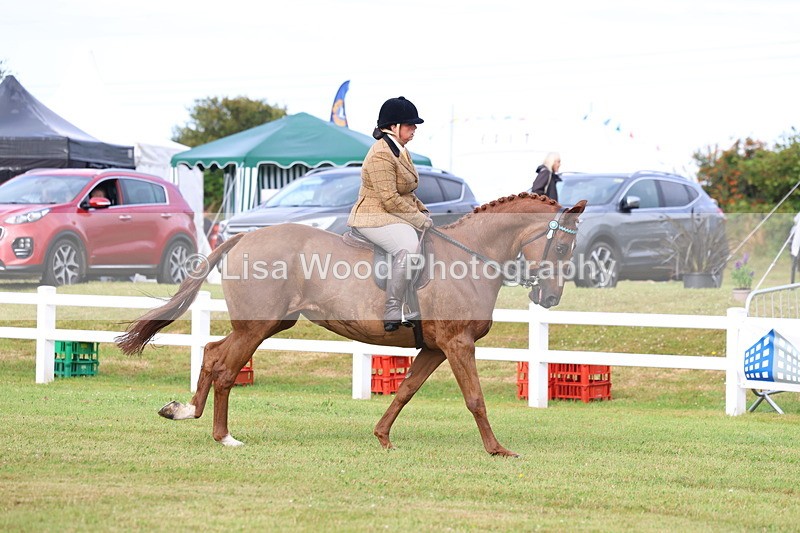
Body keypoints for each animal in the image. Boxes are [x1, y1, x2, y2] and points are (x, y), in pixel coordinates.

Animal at [117, 193, 586, 457]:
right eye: (563, 246)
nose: (550, 299)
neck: (469, 257)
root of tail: (245, 236)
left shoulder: (435, 348)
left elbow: (405, 391)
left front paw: (382, 437)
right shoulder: (458, 344)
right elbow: (475, 400)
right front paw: (497, 449)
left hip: (269, 324)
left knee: (213, 354)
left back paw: (184, 410)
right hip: (257, 327)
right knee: (228, 369)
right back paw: (224, 437)